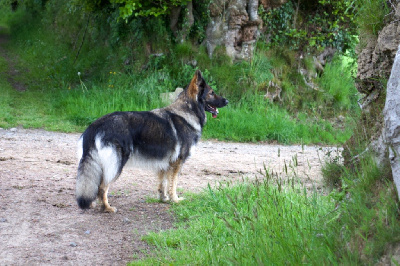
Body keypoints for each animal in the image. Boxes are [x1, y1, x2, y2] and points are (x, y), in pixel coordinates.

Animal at [75, 70, 228, 212]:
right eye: (212, 93)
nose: (227, 101)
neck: (189, 111)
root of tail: (96, 125)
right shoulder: (177, 162)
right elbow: (173, 184)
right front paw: (175, 199)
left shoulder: (165, 163)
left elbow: (163, 183)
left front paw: (164, 198)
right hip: (116, 164)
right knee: (102, 187)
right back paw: (107, 208)